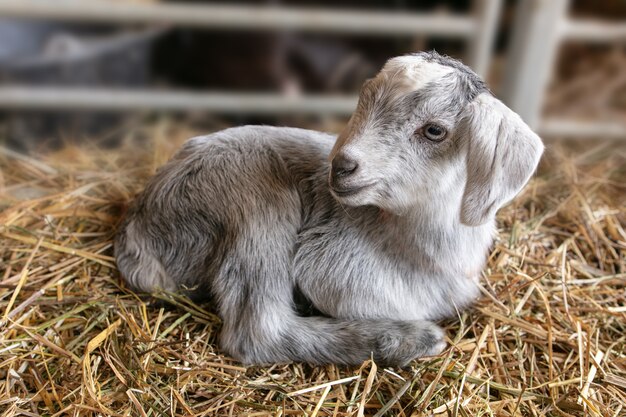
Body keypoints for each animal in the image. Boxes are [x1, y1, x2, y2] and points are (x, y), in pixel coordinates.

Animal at [116, 51, 540, 364]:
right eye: (364, 101)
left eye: (434, 130)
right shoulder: (333, 270)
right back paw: (408, 339)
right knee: (258, 331)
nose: (342, 166)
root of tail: (139, 226)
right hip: (252, 198)